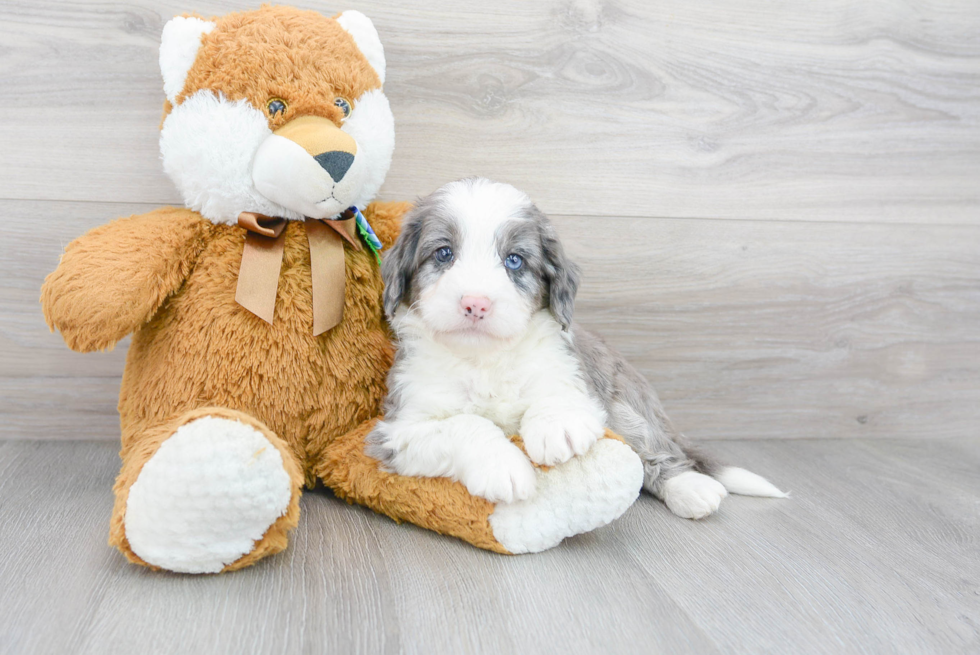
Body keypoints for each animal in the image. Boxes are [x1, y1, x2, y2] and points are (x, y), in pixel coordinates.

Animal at [368, 178, 788, 516]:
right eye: (443, 253)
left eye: (514, 261)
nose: (476, 304)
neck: (484, 360)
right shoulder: (398, 429)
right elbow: (464, 424)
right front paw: (503, 467)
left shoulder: (577, 379)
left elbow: (557, 394)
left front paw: (557, 427)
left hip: (626, 403)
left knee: (657, 452)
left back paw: (690, 487)